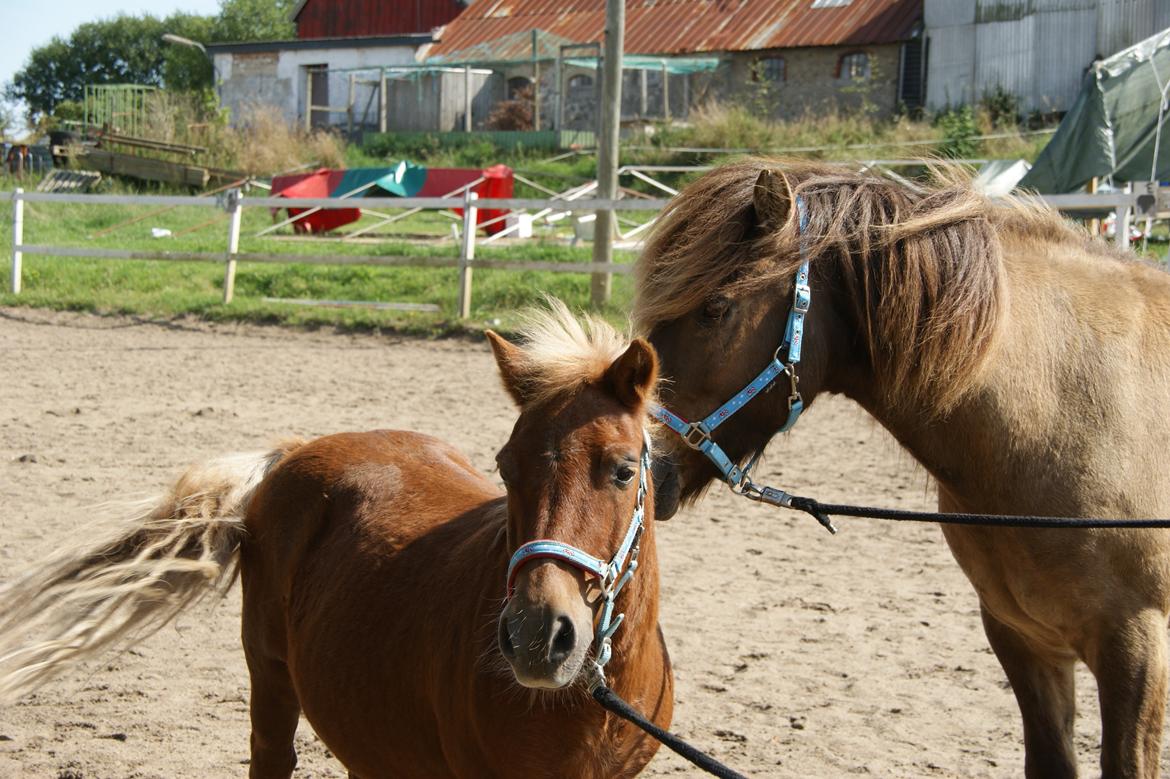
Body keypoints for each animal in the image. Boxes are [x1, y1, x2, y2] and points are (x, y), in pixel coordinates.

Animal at [0, 306, 673, 771]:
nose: (537, 634)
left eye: (624, 470)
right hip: (270, 677)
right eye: (506, 467)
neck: (589, 707)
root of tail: (299, 450)